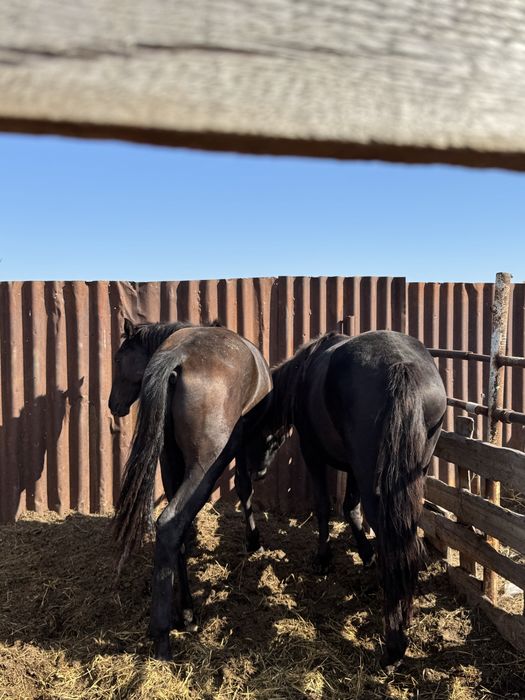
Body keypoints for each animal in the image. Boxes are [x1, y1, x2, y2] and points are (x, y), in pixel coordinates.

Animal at [109, 319, 272, 660]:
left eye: (118, 359)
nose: (113, 405)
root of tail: (178, 357)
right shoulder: (243, 441)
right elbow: (244, 487)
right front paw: (253, 542)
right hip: (206, 463)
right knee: (171, 524)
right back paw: (163, 637)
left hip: (172, 461)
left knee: (173, 531)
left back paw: (185, 613)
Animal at [247, 329, 447, 670]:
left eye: (257, 429)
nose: (255, 472)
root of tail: (400, 366)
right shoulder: (353, 468)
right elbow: (350, 508)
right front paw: (365, 555)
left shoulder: (312, 453)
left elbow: (324, 507)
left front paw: (323, 558)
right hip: (410, 468)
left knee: (392, 539)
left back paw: (394, 645)